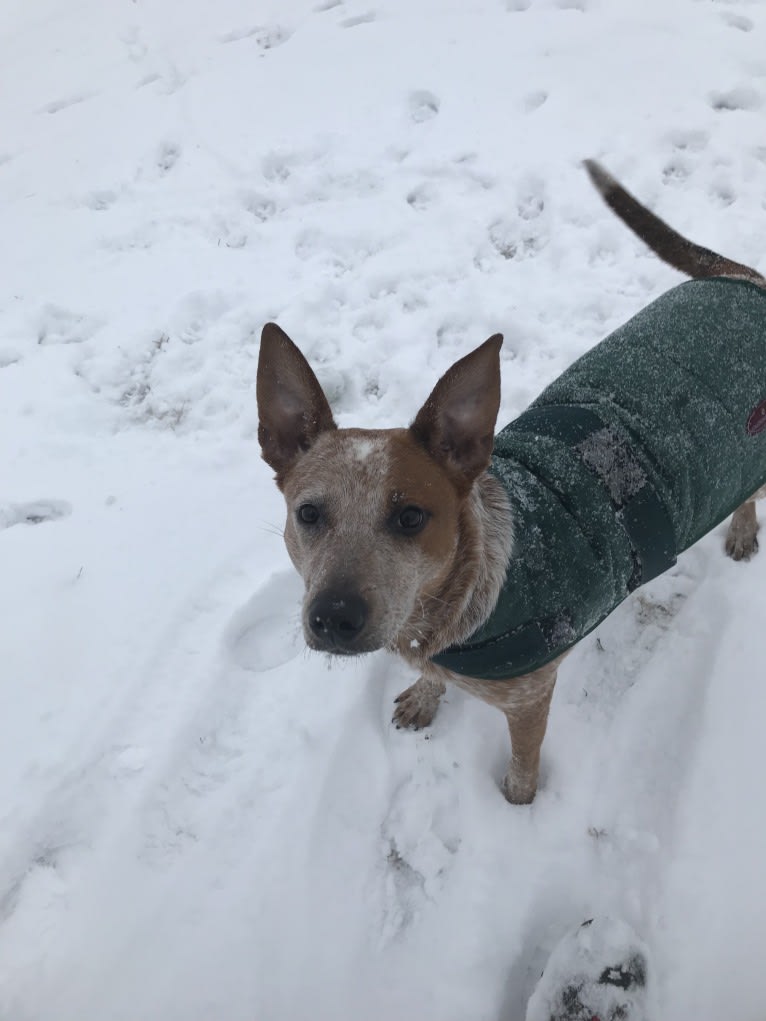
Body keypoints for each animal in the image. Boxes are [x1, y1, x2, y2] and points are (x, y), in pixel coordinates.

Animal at [258, 163, 766, 804]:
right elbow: (431, 680)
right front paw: (425, 698)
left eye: (410, 517)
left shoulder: (529, 698)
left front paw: (518, 807)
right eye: (308, 514)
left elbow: (523, 767)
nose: (333, 617)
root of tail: (741, 278)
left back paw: (743, 531)